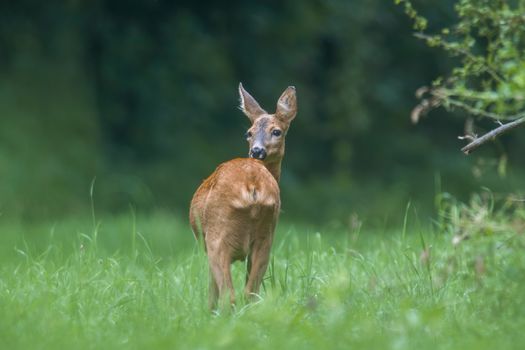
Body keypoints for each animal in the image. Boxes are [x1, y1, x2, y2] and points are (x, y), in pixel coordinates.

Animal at [189, 82, 296, 308]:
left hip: (217, 235)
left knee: (228, 294)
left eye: (277, 131)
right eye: (249, 133)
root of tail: (252, 184)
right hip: (266, 236)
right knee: (250, 292)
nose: (256, 151)